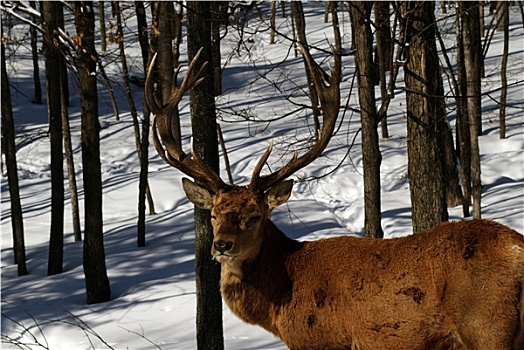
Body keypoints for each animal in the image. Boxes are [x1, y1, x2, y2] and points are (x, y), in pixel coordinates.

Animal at [146, 47, 524, 350]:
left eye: (255, 215)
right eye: (214, 213)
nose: (221, 245)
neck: (280, 302)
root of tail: (517, 248)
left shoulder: (320, 340)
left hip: (486, 326)